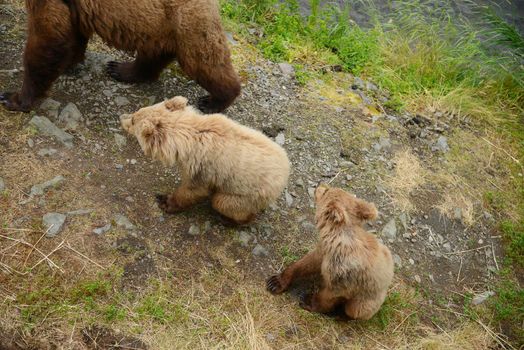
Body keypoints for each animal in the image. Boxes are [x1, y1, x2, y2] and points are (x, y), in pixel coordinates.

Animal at [0, 0, 242, 113]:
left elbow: (48, 37)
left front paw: (13, 97)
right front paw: (71, 62)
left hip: (185, 21)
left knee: (204, 61)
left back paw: (214, 100)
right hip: (157, 27)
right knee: (152, 54)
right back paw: (121, 69)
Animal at [120, 94, 290, 223]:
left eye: (133, 120)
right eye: (137, 111)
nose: (121, 117)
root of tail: (286, 174)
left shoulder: (202, 168)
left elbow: (192, 190)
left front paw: (165, 201)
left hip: (248, 194)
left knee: (223, 203)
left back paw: (231, 220)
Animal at [266, 185, 392, 322]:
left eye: (326, 191)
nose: (320, 185)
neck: (338, 238)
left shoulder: (344, 274)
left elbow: (330, 295)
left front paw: (307, 300)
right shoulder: (325, 252)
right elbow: (307, 263)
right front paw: (275, 282)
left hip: (369, 299)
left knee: (355, 309)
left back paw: (341, 314)